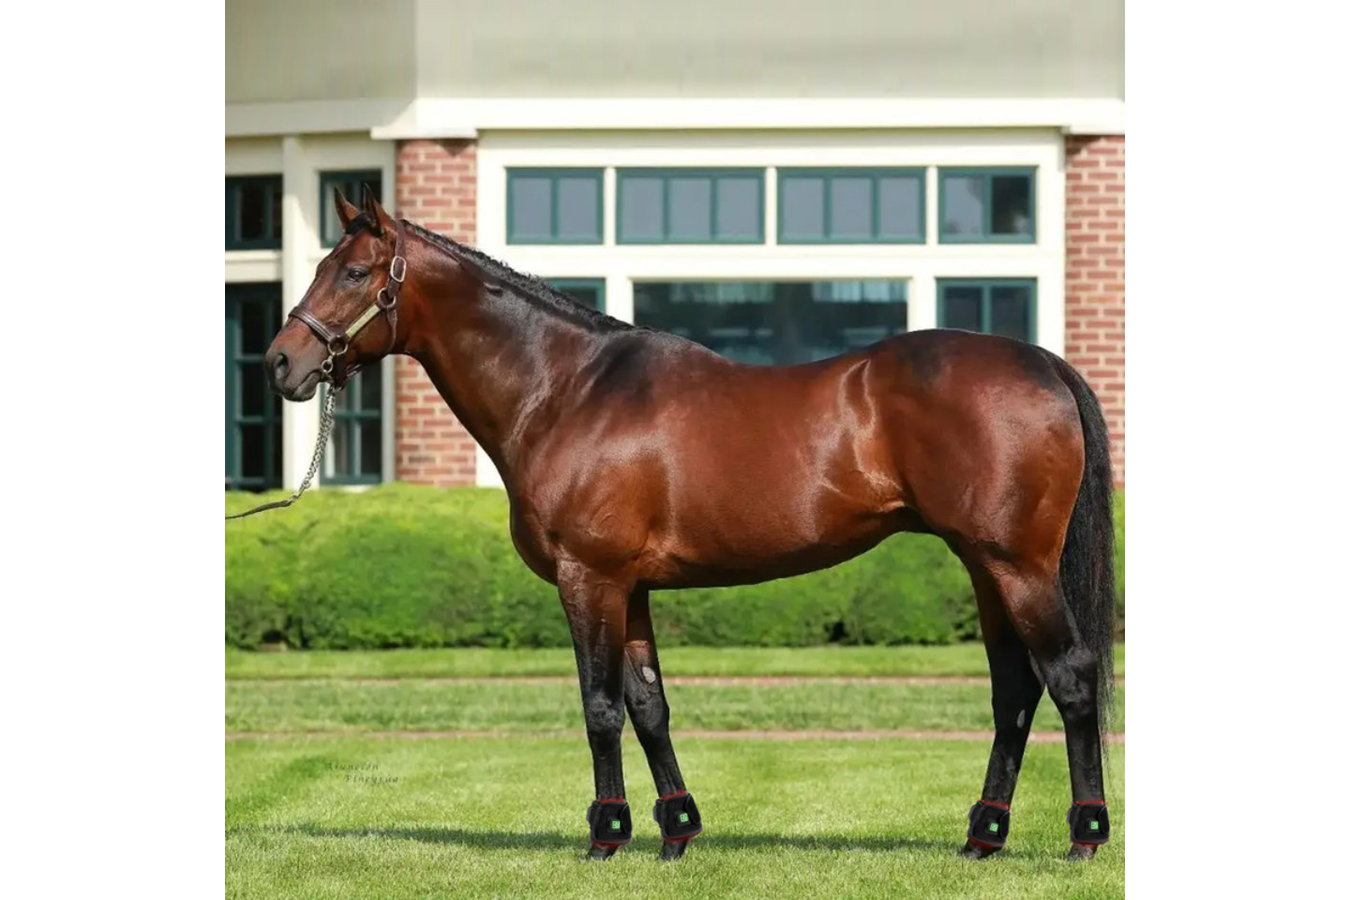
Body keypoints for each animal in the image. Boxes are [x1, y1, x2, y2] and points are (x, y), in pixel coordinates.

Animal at [262, 185, 1117, 863]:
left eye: (353, 271)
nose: (280, 363)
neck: (567, 390)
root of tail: (1043, 363)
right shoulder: (631, 587)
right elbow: (649, 707)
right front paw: (676, 833)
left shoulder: (589, 580)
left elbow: (600, 708)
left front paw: (606, 837)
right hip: (986, 567)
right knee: (1014, 691)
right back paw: (982, 837)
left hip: (1017, 566)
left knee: (1069, 677)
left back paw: (1083, 837)